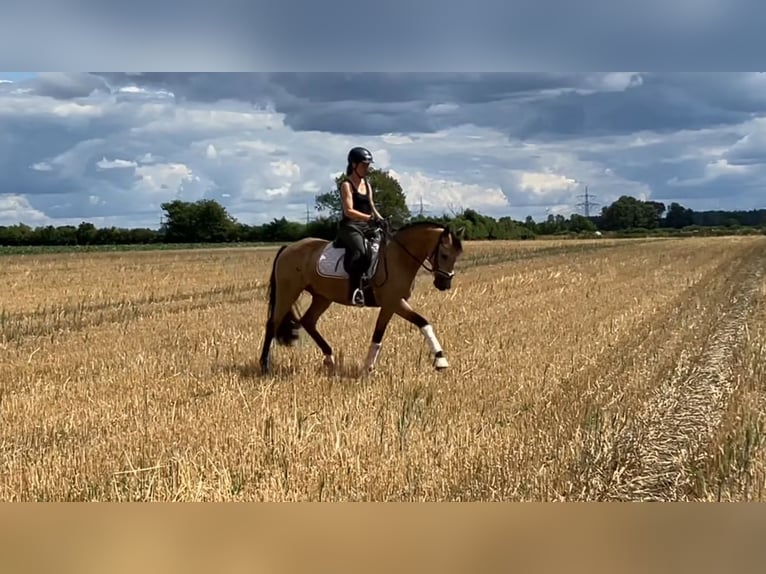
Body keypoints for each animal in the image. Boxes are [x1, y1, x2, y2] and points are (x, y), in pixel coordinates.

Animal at [258, 220, 465, 376]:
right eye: (444, 255)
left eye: (457, 256)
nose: (444, 284)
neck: (399, 257)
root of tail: (288, 248)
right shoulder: (394, 302)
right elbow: (423, 322)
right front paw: (441, 360)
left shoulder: (391, 305)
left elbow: (379, 333)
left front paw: (368, 367)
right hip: (288, 291)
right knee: (273, 323)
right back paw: (264, 365)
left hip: (322, 296)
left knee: (308, 321)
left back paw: (330, 358)